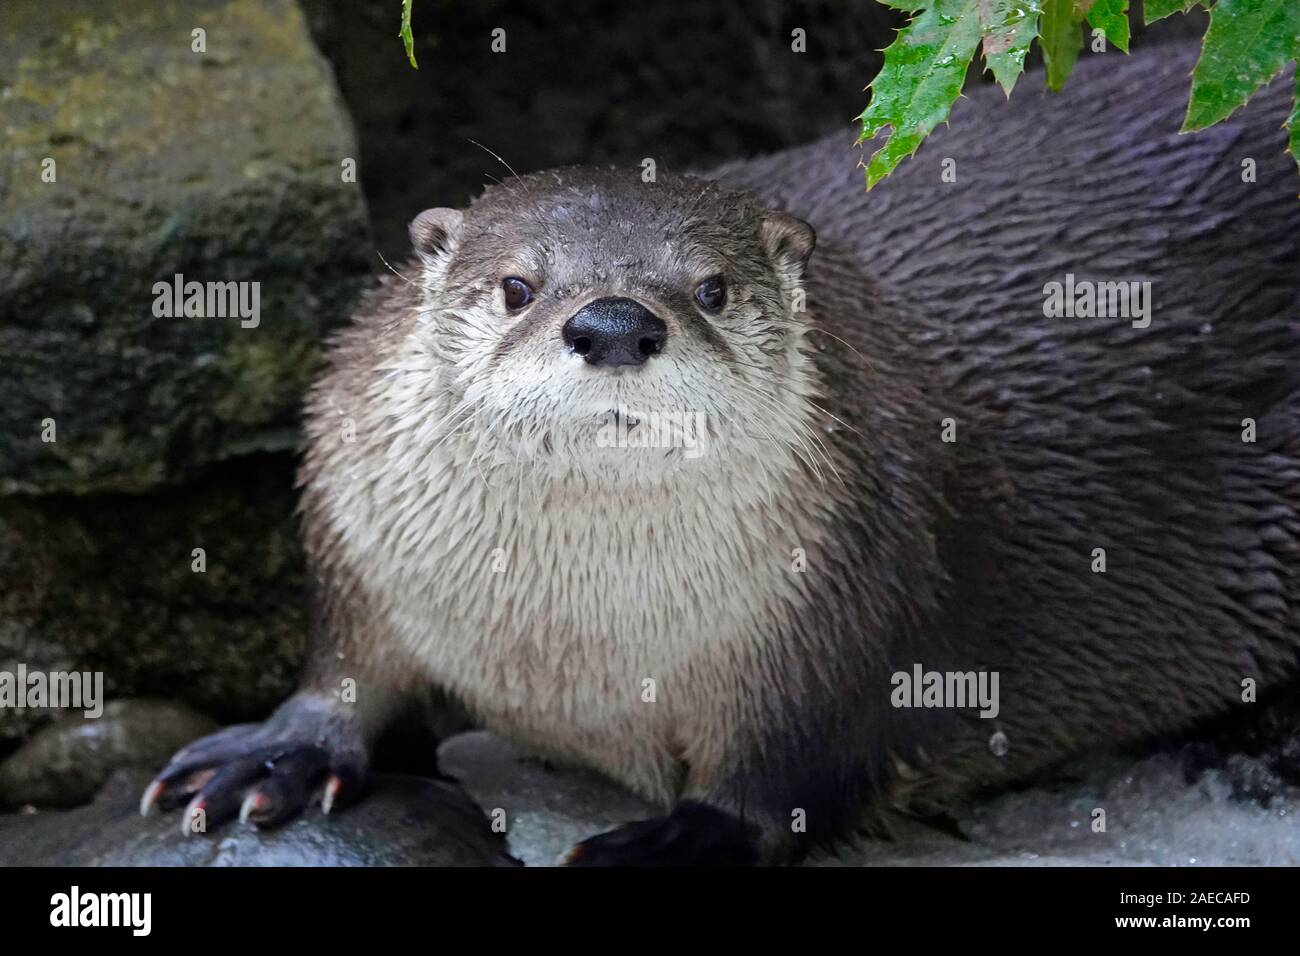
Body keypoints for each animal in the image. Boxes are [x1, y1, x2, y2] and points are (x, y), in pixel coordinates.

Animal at [142, 46, 1300, 865]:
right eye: (517, 286)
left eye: (711, 286)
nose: (614, 322)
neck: (578, 653)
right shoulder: (359, 540)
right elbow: (346, 666)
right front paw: (272, 752)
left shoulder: (851, 606)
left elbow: (793, 772)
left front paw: (672, 841)